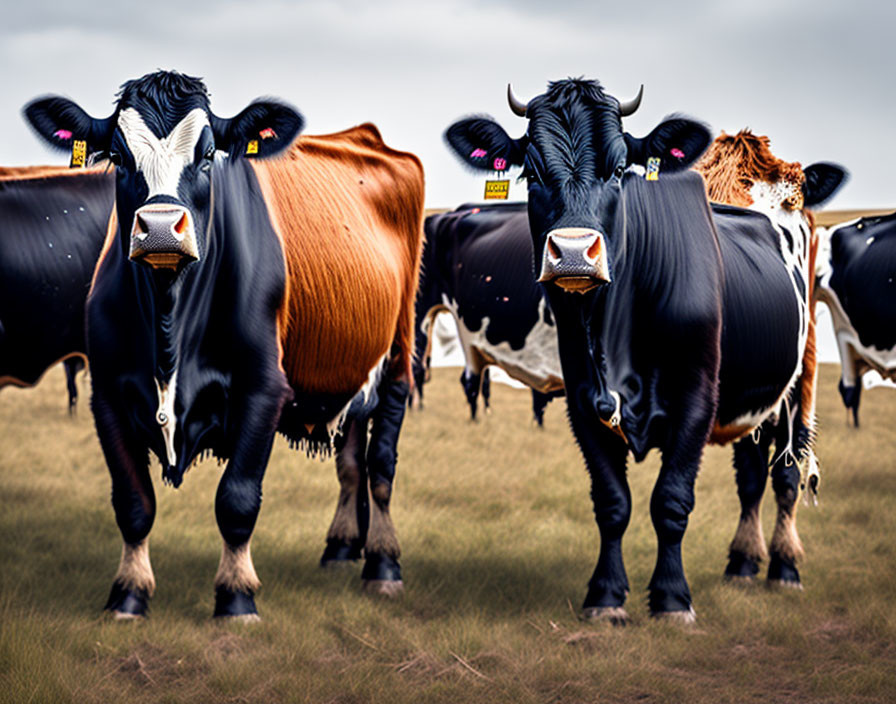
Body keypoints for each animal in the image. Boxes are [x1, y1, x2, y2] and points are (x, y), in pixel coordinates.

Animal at [24, 71, 424, 620]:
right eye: (119, 157)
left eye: (209, 154)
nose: (159, 230)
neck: (170, 333)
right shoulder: (105, 391)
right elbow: (133, 502)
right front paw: (128, 594)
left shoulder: (264, 389)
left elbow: (236, 499)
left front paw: (236, 595)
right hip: (348, 369)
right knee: (351, 462)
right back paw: (341, 549)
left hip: (400, 355)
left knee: (382, 466)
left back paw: (383, 565)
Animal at [446, 80, 840, 624]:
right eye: (531, 172)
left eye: (618, 171)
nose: (573, 253)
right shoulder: (583, 399)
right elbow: (612, 502)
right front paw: (606, 596)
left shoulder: (697, 398)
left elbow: (670, 501)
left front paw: (673, 598)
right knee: (750, 475)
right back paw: (742, 563)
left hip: (799, 380)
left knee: (784, 472)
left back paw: (784, 567)